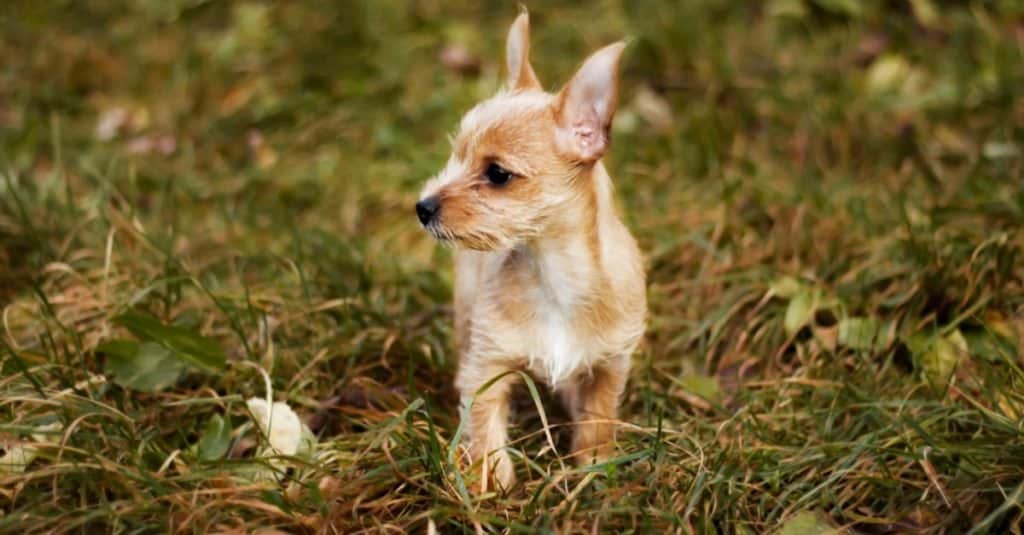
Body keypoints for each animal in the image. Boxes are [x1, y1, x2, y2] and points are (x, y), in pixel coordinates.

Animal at [413, 9, 638, 491]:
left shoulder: (611, 365)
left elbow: (598, 418)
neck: (555, 276)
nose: (422, 207)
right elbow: (484, 422)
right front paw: (486, 478)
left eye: (497, 174)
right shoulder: (489, 366)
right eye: (456, 157)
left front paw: (595, 464)